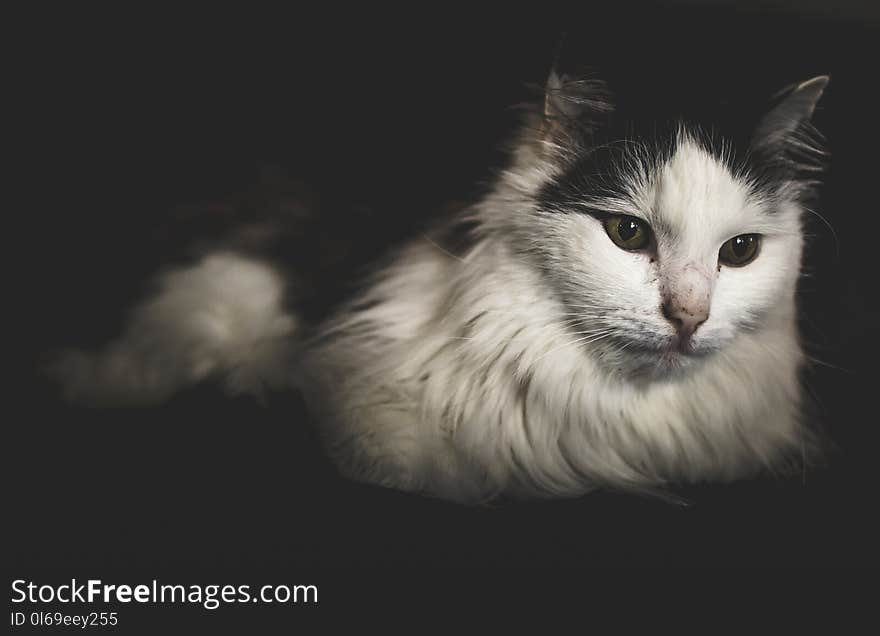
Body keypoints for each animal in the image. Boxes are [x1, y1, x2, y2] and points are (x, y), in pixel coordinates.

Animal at [51, 69, 828, 504]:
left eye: (740, 252)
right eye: (628, 234)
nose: (689, 316)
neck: (613, 417)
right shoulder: (357, 399)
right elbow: (407, 467)